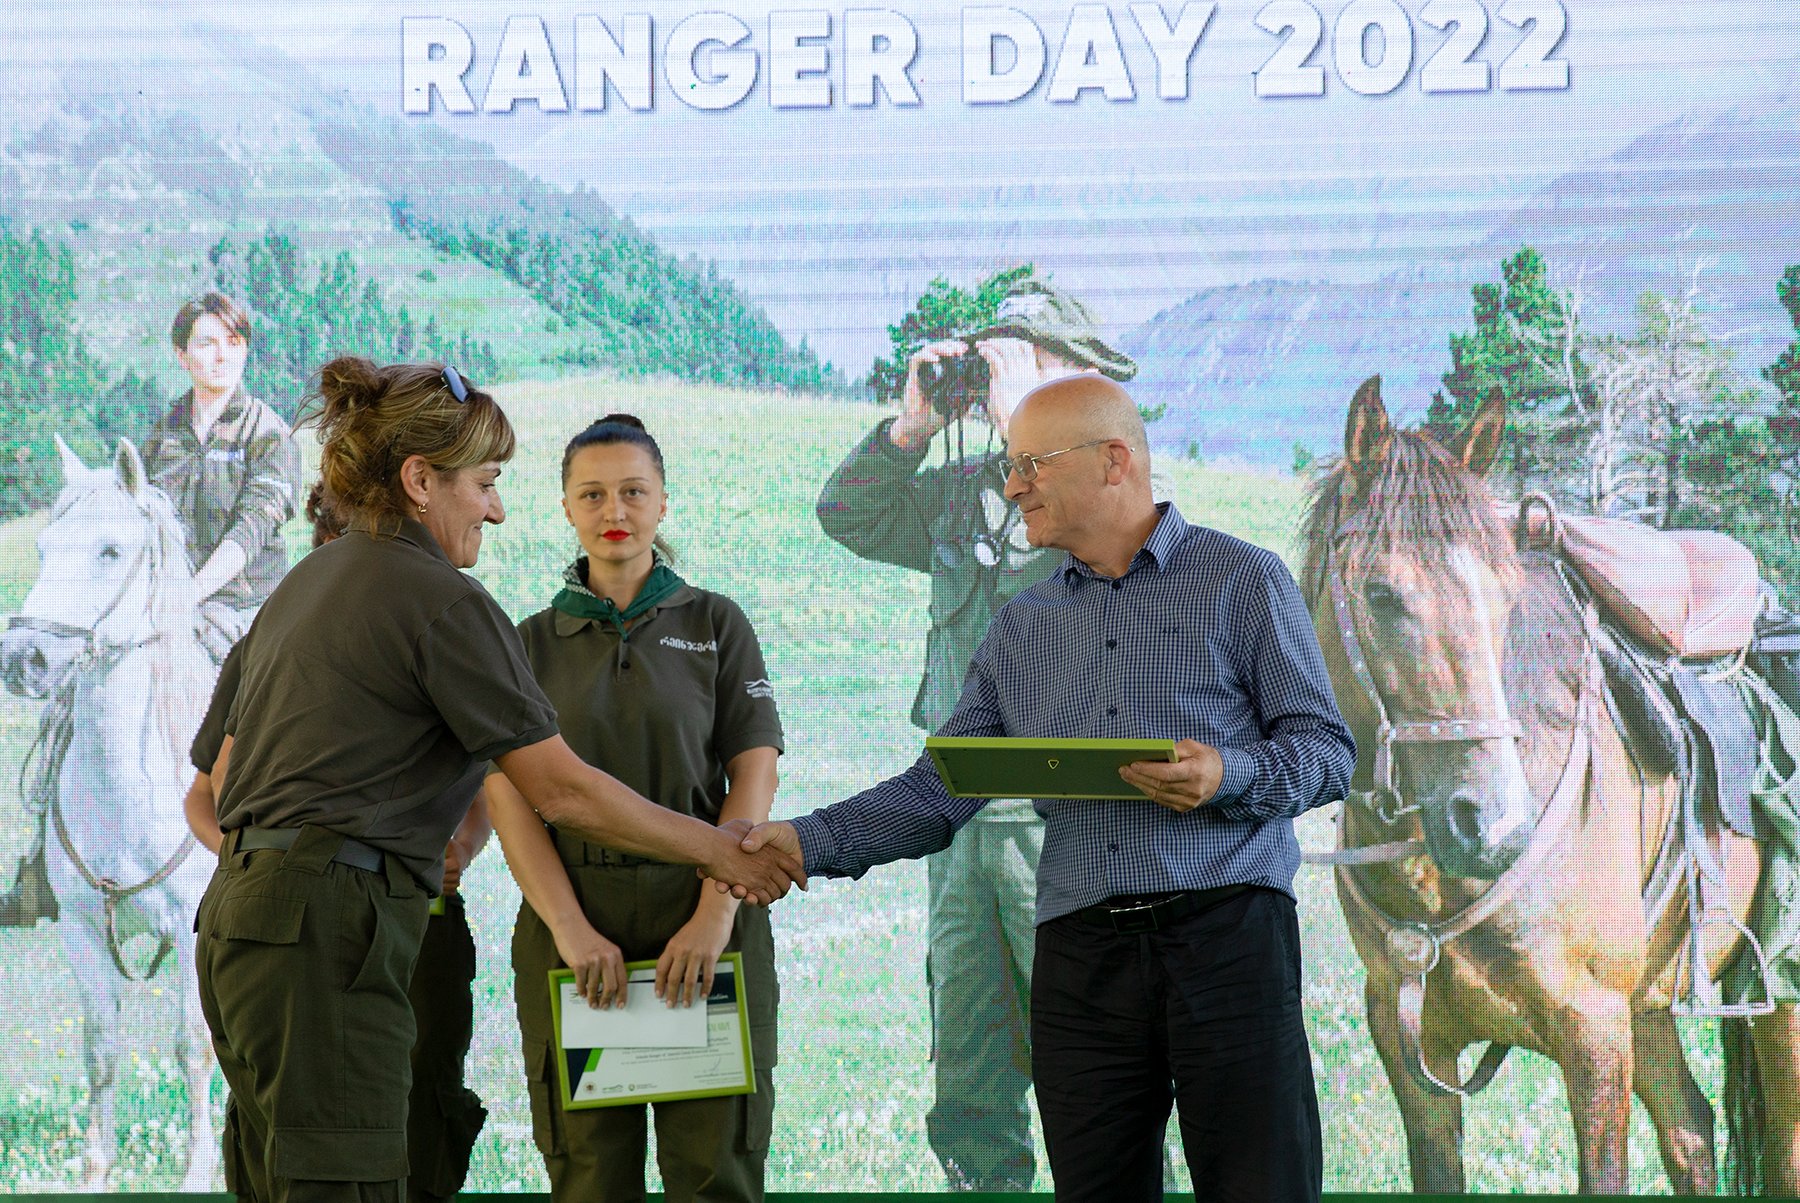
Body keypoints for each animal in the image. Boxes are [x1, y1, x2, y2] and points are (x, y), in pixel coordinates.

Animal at [0, 436, 220, 1190]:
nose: (24, 659)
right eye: (46, 547)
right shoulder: (82, 932)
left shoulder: (192, 931)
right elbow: (101, 1047)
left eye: (111, 550)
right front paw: (96, 1170)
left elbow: (193, 1045)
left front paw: (198, 1174)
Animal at [1299, 376, 1800, 1193]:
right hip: (1650, 1006)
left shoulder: (1593, 1035)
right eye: (1380, 594)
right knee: (1690, 1132)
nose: (1495, 826)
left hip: (1774, 1000)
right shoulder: (1412, 1046)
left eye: (1506, 595)